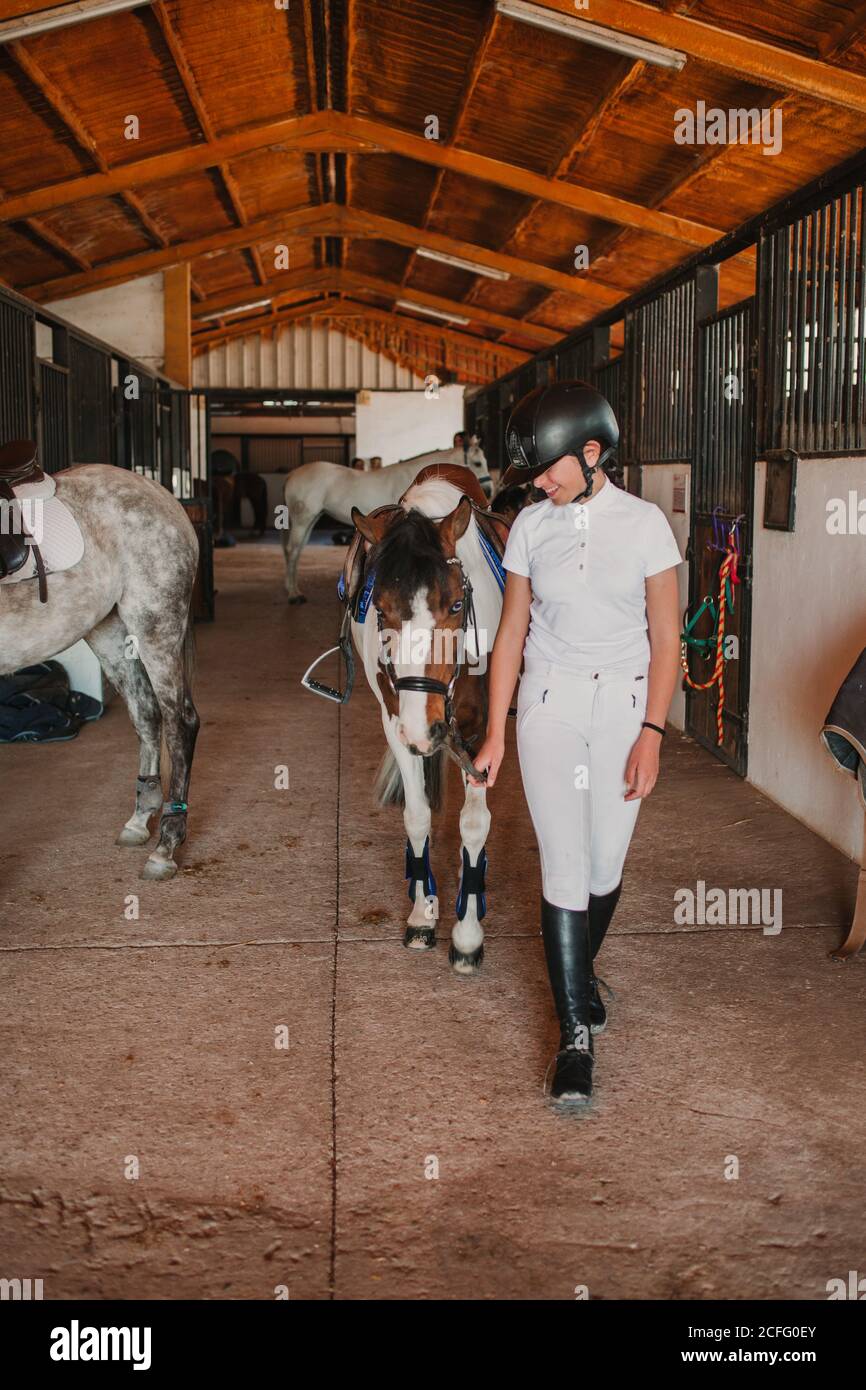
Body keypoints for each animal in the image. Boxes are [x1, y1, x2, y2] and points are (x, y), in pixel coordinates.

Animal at [279, 439, 492, 603]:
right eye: (477, 463)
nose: (489, 492)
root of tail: (292, 475)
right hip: (302, 520)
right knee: (292, 551)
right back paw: (293, 595)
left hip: (311, 519)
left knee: (295, 551)